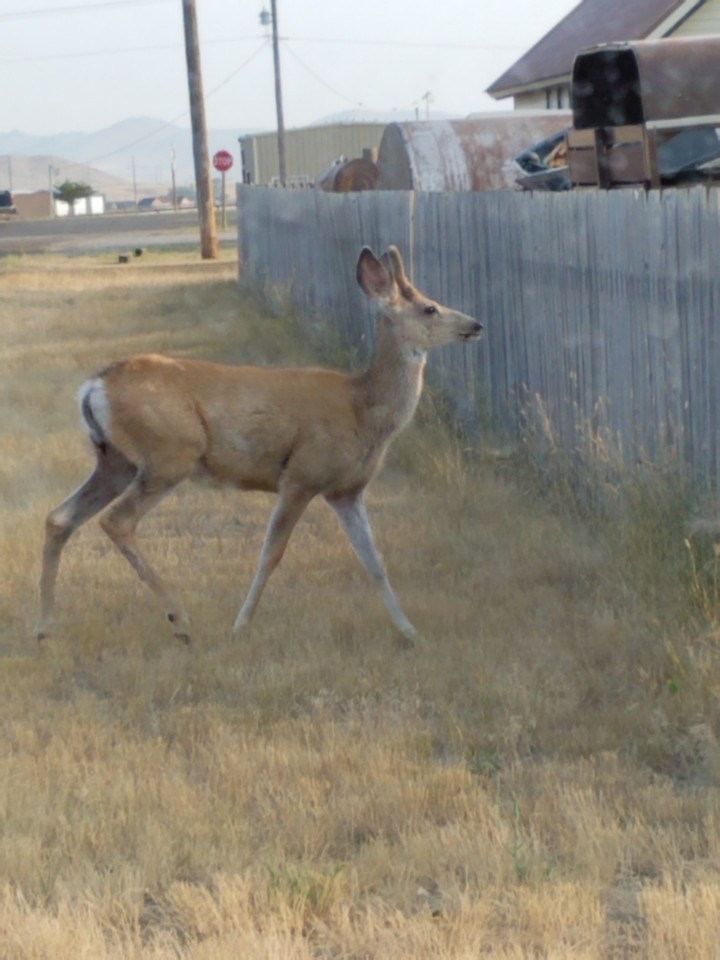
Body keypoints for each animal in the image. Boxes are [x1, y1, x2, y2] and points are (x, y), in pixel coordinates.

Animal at [35, 245, 482, 645]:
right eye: (430, 308)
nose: (476, 324)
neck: (365, 409)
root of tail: (95, 385)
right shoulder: (302, 475)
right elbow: (272, 554)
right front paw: (241, 626)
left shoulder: (347, 491)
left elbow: (374, 560)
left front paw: (410, 632)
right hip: (169, 453)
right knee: (117, 521)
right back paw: (180, 619)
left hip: (115, 460)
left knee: (60, 517)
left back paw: (44, 628)